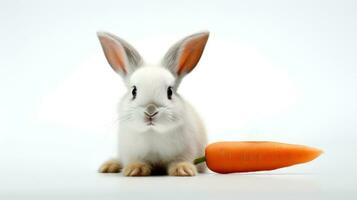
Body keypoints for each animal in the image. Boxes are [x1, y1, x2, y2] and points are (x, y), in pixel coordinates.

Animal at [97, 31, 209, 177]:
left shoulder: (186, 150)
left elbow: (180, 160)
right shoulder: (131, 152)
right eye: (134, 91)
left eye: (169, 92)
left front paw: (183, 170)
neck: (153, 133)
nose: (150, 110)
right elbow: (135, 161)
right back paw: (109, 166)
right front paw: (135, 169)